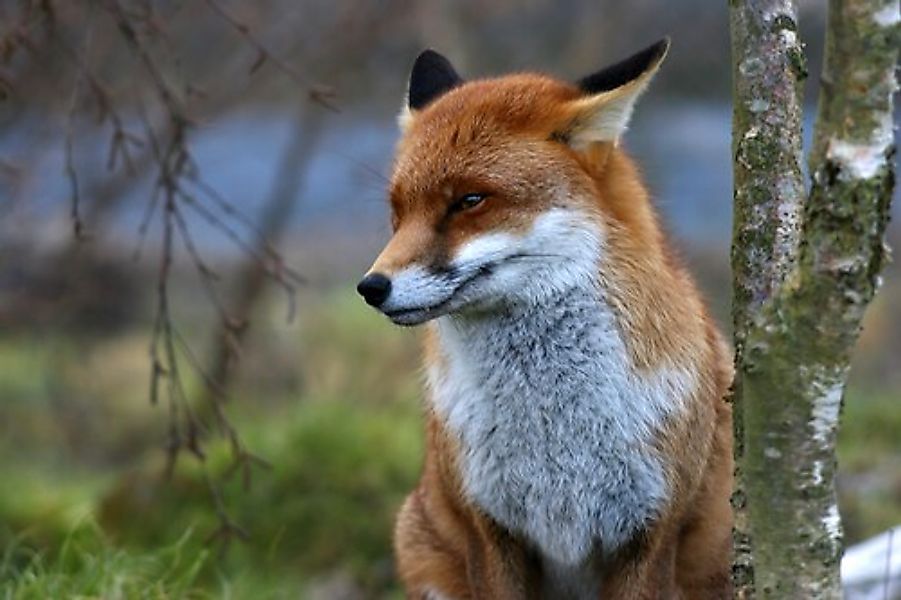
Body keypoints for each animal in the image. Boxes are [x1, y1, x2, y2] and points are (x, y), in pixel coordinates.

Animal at [356, 38, 736, 600]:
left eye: (470, 200)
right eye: (398, 212)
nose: (371, 288)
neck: (555, 428)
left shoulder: (651, 533)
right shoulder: (490, 532)